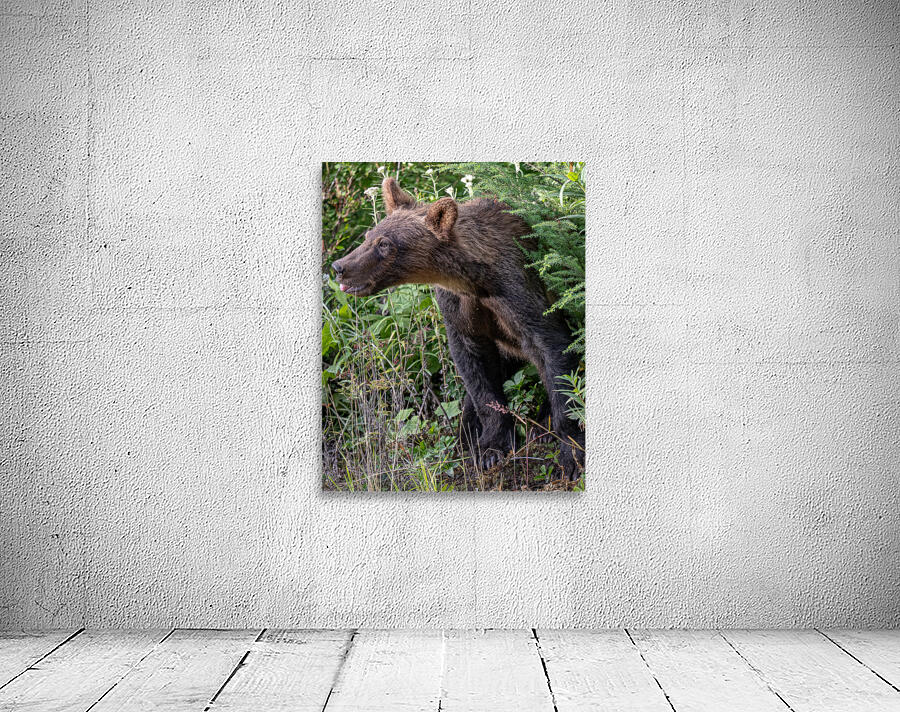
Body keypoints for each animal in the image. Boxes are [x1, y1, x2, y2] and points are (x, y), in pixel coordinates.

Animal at [331, 176, 585, 480]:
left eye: (385, 244)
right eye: (369, 236)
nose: (339, 266)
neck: (475, 280)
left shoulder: (521, 291)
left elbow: (554, 350)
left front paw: (570, 454)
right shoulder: (459, 308)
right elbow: (476, 372)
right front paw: (490, 448)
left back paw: (540, 425)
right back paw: (465, 433)